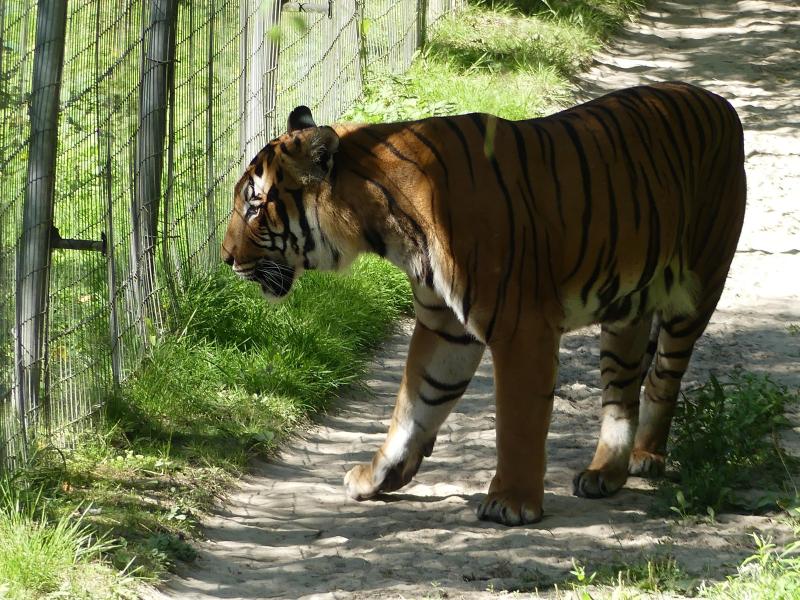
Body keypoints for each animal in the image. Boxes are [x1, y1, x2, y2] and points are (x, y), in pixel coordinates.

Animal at [221, 81, 746, 526]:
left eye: (254, 205)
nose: (225, 258)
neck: (382, 224)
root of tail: (718, 101)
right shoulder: (445, 325)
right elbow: (415, 403)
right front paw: (377, 477)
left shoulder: (521, 326)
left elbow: (517, 418)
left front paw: (511, 502)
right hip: (626, 311)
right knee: (622, 391)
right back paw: (604, 473)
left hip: (697, 290)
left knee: (663, 376)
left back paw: (646, 456)